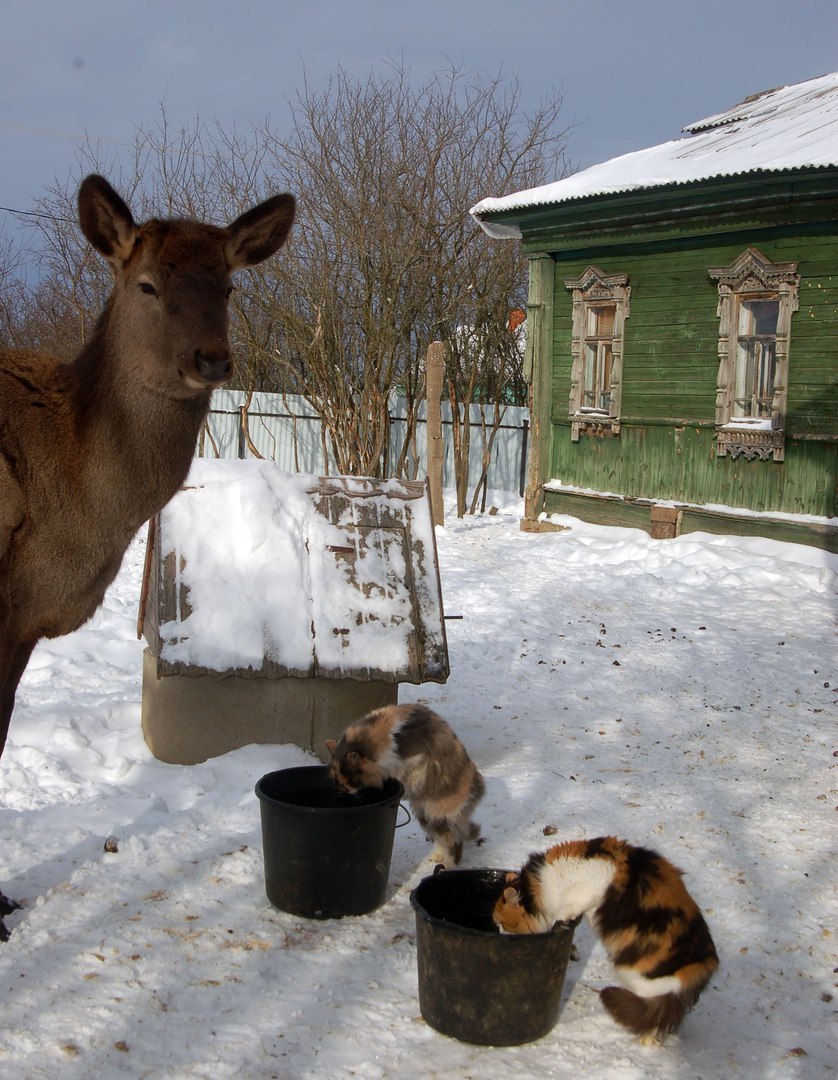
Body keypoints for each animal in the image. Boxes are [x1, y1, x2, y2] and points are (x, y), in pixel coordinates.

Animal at [328, 699, 483, 868]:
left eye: (350, 780)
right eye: (338, 780)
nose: (344, 790)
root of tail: (478, 787)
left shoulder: (415, 756)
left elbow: (406, 767)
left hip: (441, 814)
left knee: (455, 841)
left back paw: (448, 866)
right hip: (426, 816)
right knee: (441, 838)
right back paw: (436, 857)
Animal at [490, 833, 721, 1036]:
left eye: (502, 923)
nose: (498, 932)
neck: (548, 878)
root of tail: (707, 965)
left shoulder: (586, 887)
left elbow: (568, 906)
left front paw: (560, 921)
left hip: (640, 981)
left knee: (654, 1016)